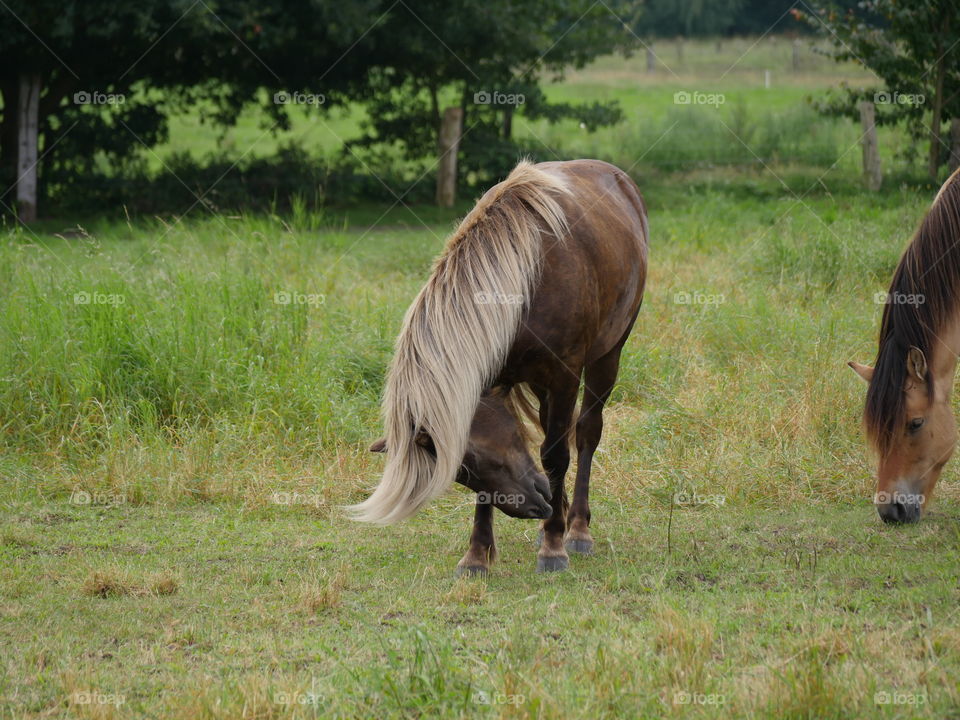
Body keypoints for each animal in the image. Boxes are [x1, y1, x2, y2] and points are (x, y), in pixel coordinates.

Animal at [349, 158, 648, 574]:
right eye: (467, 468)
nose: (537, 504)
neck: (525, 282)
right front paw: (477, 554)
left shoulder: (564, 375)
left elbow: (556, 455)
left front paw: (553, 546)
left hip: (608, 355)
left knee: (585, 433)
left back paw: (575, 527)